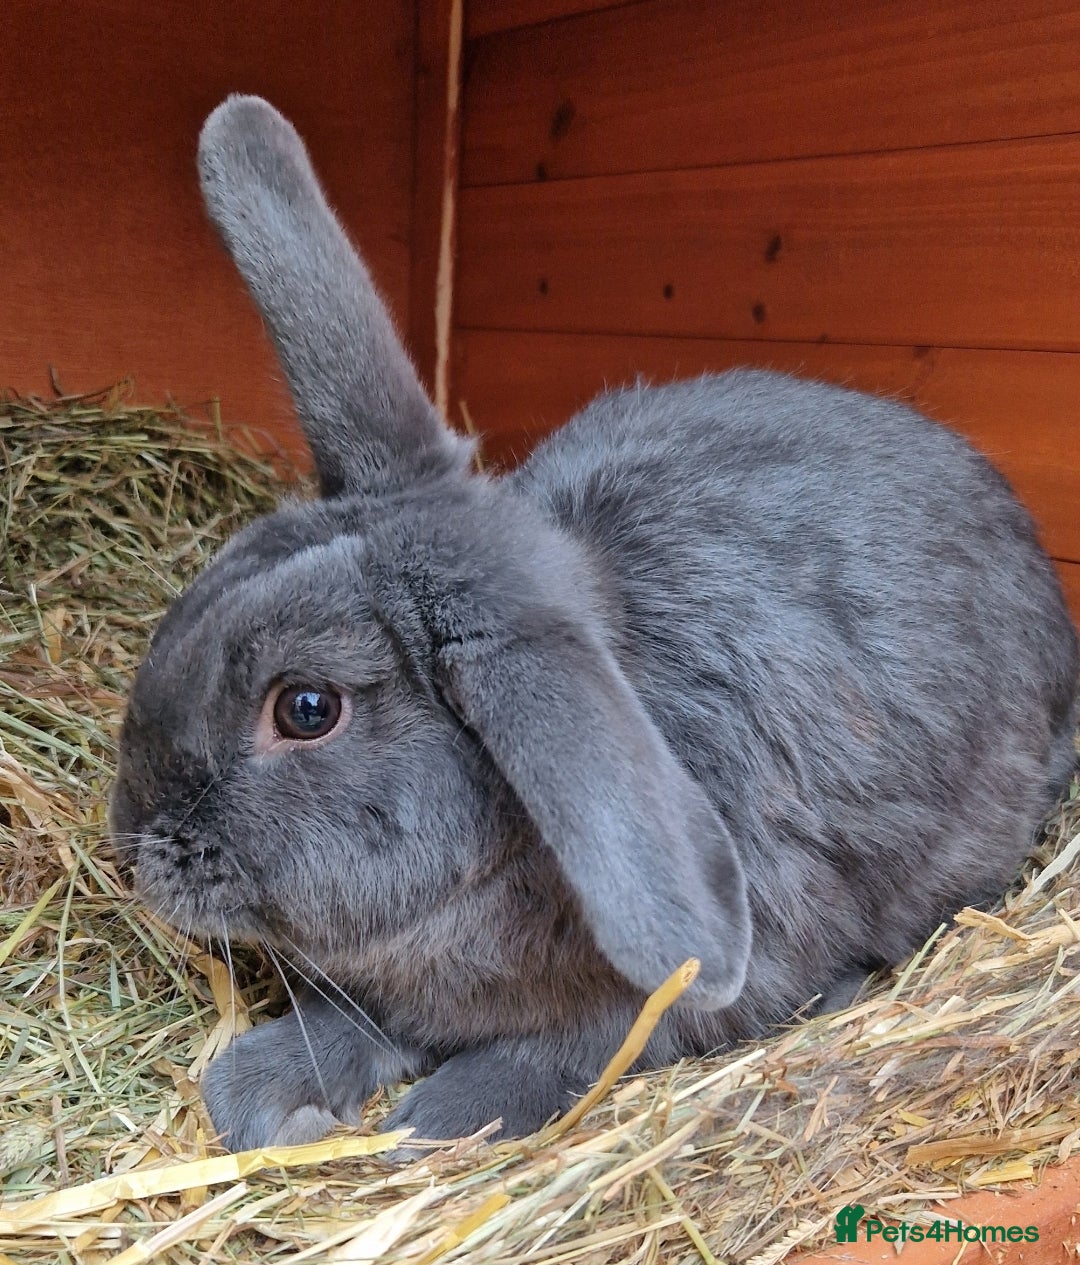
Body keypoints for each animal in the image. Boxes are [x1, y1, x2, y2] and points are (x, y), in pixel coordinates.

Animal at [109, 95, 1079, 1155]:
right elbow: (335, 1027)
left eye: (308, 707)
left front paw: (431, 1119)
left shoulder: (665, 998)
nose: (134, 845)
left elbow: (559, 1056)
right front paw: (268, 1098)